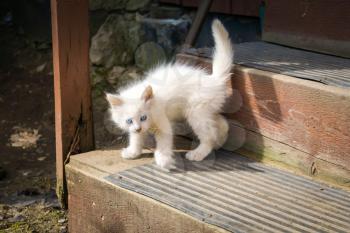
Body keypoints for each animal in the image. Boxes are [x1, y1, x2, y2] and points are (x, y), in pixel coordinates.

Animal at [106, 19, 232, 169]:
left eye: (143, 117)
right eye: (129, 120)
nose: (138, 128)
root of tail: (213, 79)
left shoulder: (163, 123)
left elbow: (164, 143)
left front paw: (163, 159)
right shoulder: (136, 129)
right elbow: (136, 139)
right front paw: (133, 152)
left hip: (196, 113)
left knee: (209, 135)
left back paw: (198, 153)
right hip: (205, 111)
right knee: (222, 123)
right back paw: (220, 142)